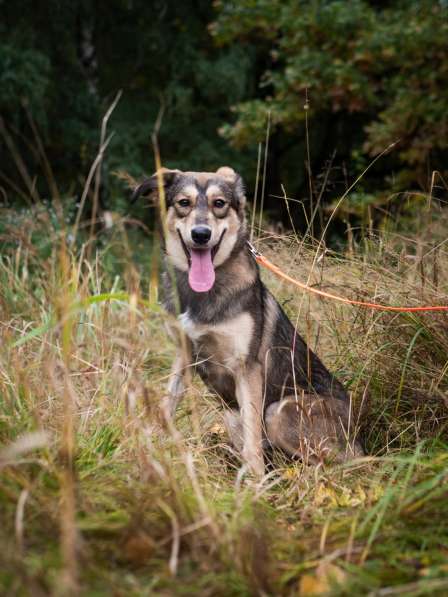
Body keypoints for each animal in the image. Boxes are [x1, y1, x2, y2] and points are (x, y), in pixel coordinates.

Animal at [132, 166, 364, 474]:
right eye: (184, 203)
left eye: (219, 203)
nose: (201, 234)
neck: (202, 294)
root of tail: (360, 438)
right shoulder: (184, 354)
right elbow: (168, 402)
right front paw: (153, 447)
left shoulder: (247, 367)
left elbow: (252, 440)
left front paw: (255, 480)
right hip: (232, 414)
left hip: (281, 411)